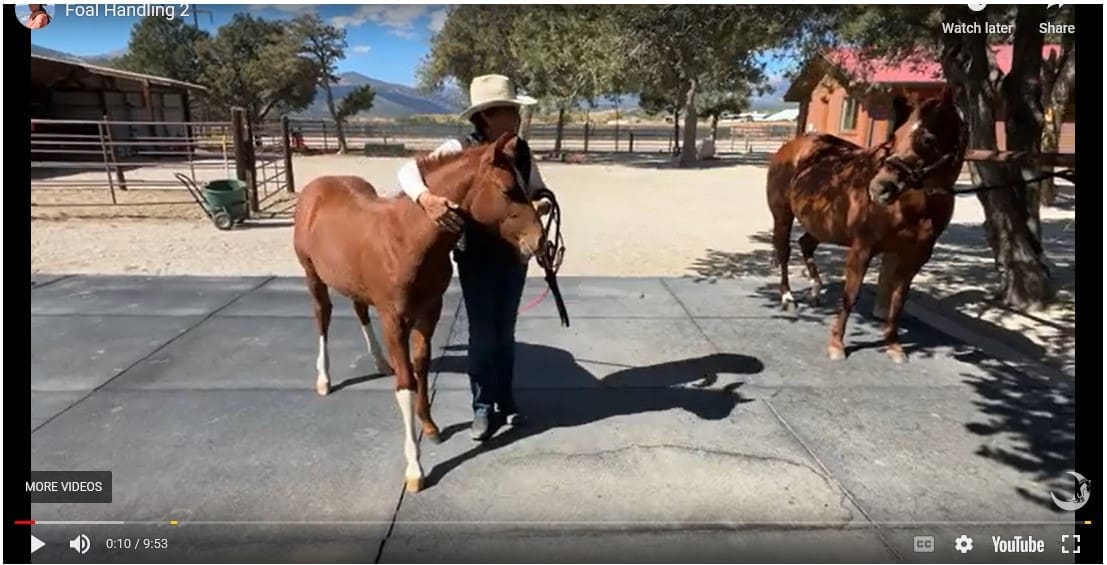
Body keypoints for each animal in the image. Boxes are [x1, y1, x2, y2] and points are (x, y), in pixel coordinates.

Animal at [294, 132, 544, 489]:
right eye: (509, 189)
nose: (539, 241)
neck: (408, 238)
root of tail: (317, 187)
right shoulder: (394, 320)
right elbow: (405, 383)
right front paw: (415, 468)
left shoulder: (429, 312)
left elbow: (420, 366)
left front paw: (429, 426)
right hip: (312, 275)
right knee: (322, 317)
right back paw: (324, 379)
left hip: (353, 284)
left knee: (359, 311)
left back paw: (379, 362)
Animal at [770, 86, 969, 363]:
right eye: (895, 135)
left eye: (928, 138)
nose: (880, 188)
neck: (914, 204)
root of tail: (792, 146)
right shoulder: (863, 248)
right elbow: (851, 294)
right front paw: (837, 344)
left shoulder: (914, 258)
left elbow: (898, 300)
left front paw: (894, 346)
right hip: (783, 216)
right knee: (784, 251)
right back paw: (788, 296)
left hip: (823, 224)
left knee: (806, 244)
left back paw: (816, 290)